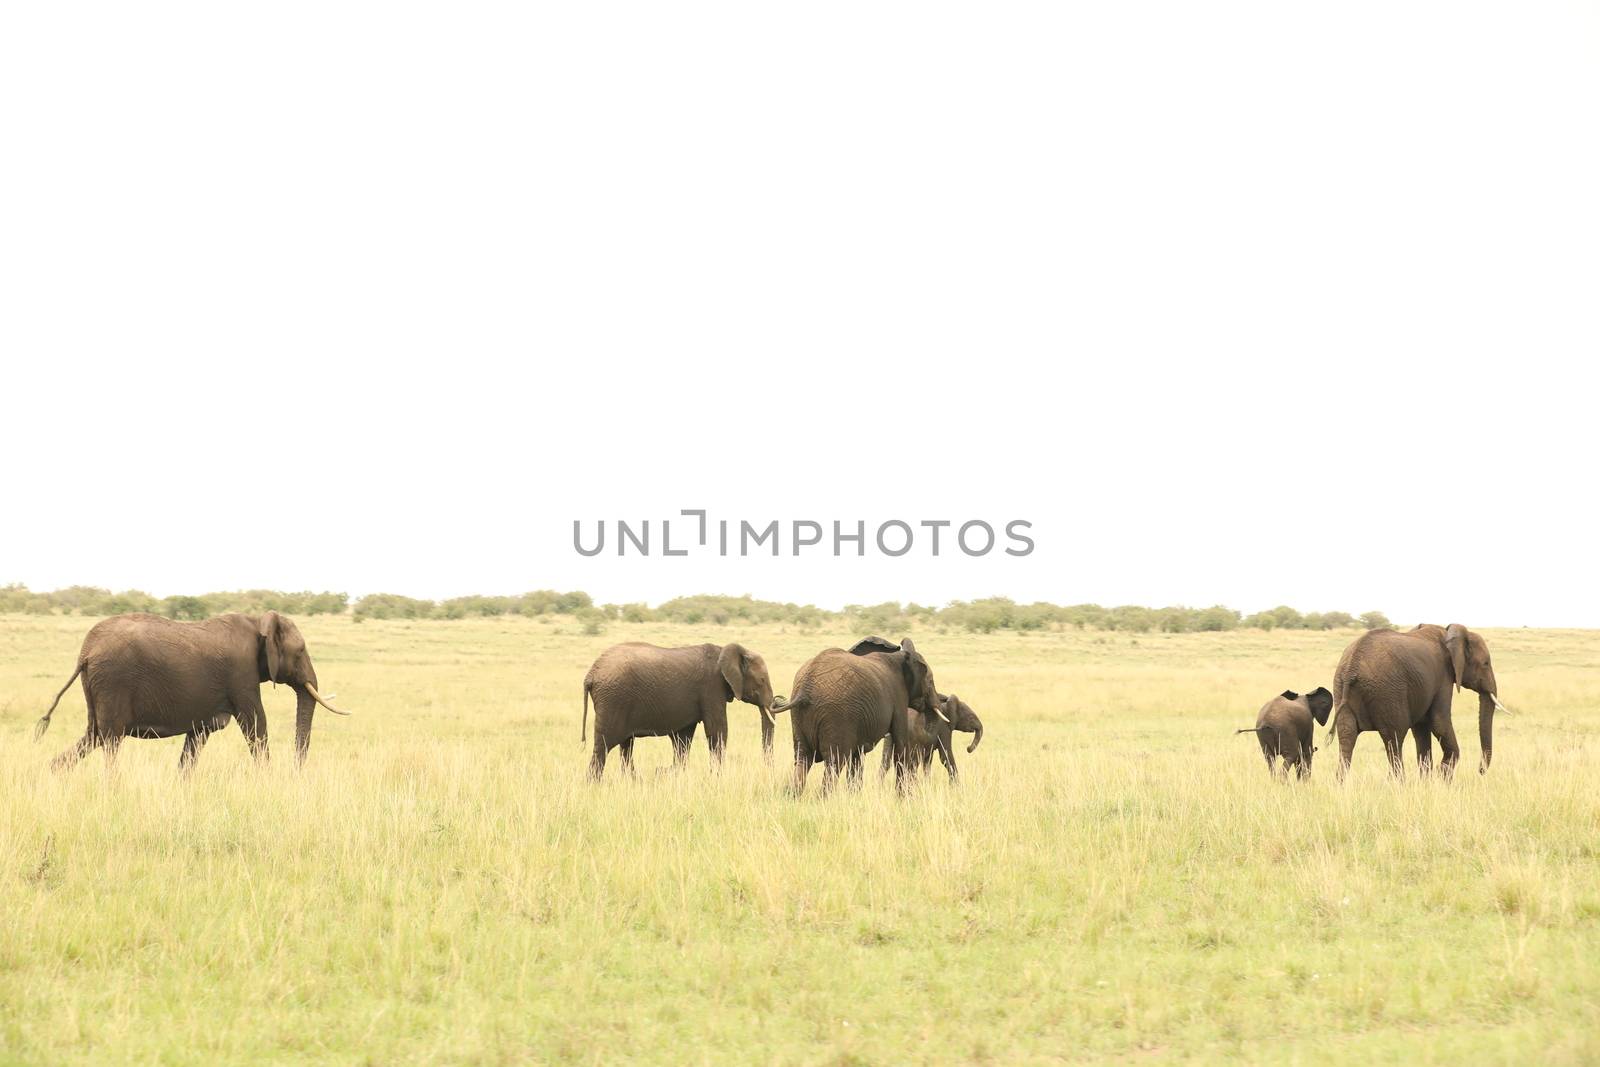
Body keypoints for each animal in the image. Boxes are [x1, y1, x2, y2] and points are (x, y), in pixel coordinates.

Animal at [34, 614, 347, 771]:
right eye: (301, 651)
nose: (295, 773)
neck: (258, 620)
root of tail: (85, 652)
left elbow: (198, 736)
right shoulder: (241, 674)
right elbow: (256, 723)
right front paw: (267, 778)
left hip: (98, 684)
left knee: (93, 736)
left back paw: (53, 772)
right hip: (113, 681)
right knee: (110, 741)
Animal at [582, 639, 780, 780]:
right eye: (761, 680)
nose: (768, 771)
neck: (726, 650)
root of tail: (591, 674)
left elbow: (683, 738)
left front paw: (673, 774)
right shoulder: (712, 687)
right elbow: (717, 730)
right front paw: (717, 778)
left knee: (626, 746)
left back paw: (631, 780)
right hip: (612, 700)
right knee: (603, 745)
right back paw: (594, 784)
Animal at [768, 633, 940, 793]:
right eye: (930, 681)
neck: (900, 656)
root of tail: (805, 688)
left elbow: (857, 757)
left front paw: (854, 794)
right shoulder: (899, 697)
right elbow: (900, 744)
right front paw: (904, 797)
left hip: (799, 717)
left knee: (802, 759)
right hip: (836, 716)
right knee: (834, 763)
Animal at [1331, 620, 1504, 780]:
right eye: (1485, 663)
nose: (1480, 771)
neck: (1449, 633)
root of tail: (1351, 668)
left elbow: (1421, 729)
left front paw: (1427, 781)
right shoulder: (1443, 676)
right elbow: (1439, 723)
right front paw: (1442, 777)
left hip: (1341, 690)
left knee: (1347, 737)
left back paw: (1342, 786)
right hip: (1389, 693)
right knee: (1394, 738)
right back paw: (1397, 785)